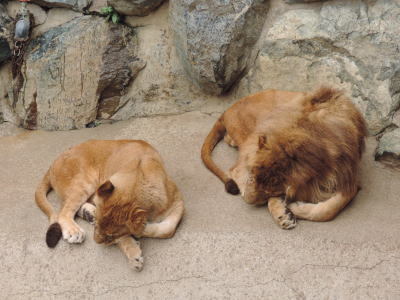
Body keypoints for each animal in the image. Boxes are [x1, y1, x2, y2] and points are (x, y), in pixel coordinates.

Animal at [35, 139, 184, 270]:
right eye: (97, 228)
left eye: (110, 235)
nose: (96, 242)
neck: (138, 177)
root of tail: (52, 163)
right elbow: (126, 238)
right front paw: (134, 250)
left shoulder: (178, 202)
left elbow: (168, 229)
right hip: (85, 181)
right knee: (63, 211)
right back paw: (74, 231)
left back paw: (89, 214)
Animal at [202, 88, 368, 229]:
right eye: (251, 178)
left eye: (268, 192)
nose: (246, 199)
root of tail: (228, 109)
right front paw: (286, 211)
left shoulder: (349, 180)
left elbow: (329, 210)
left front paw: (290, 209)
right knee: (234, 169)